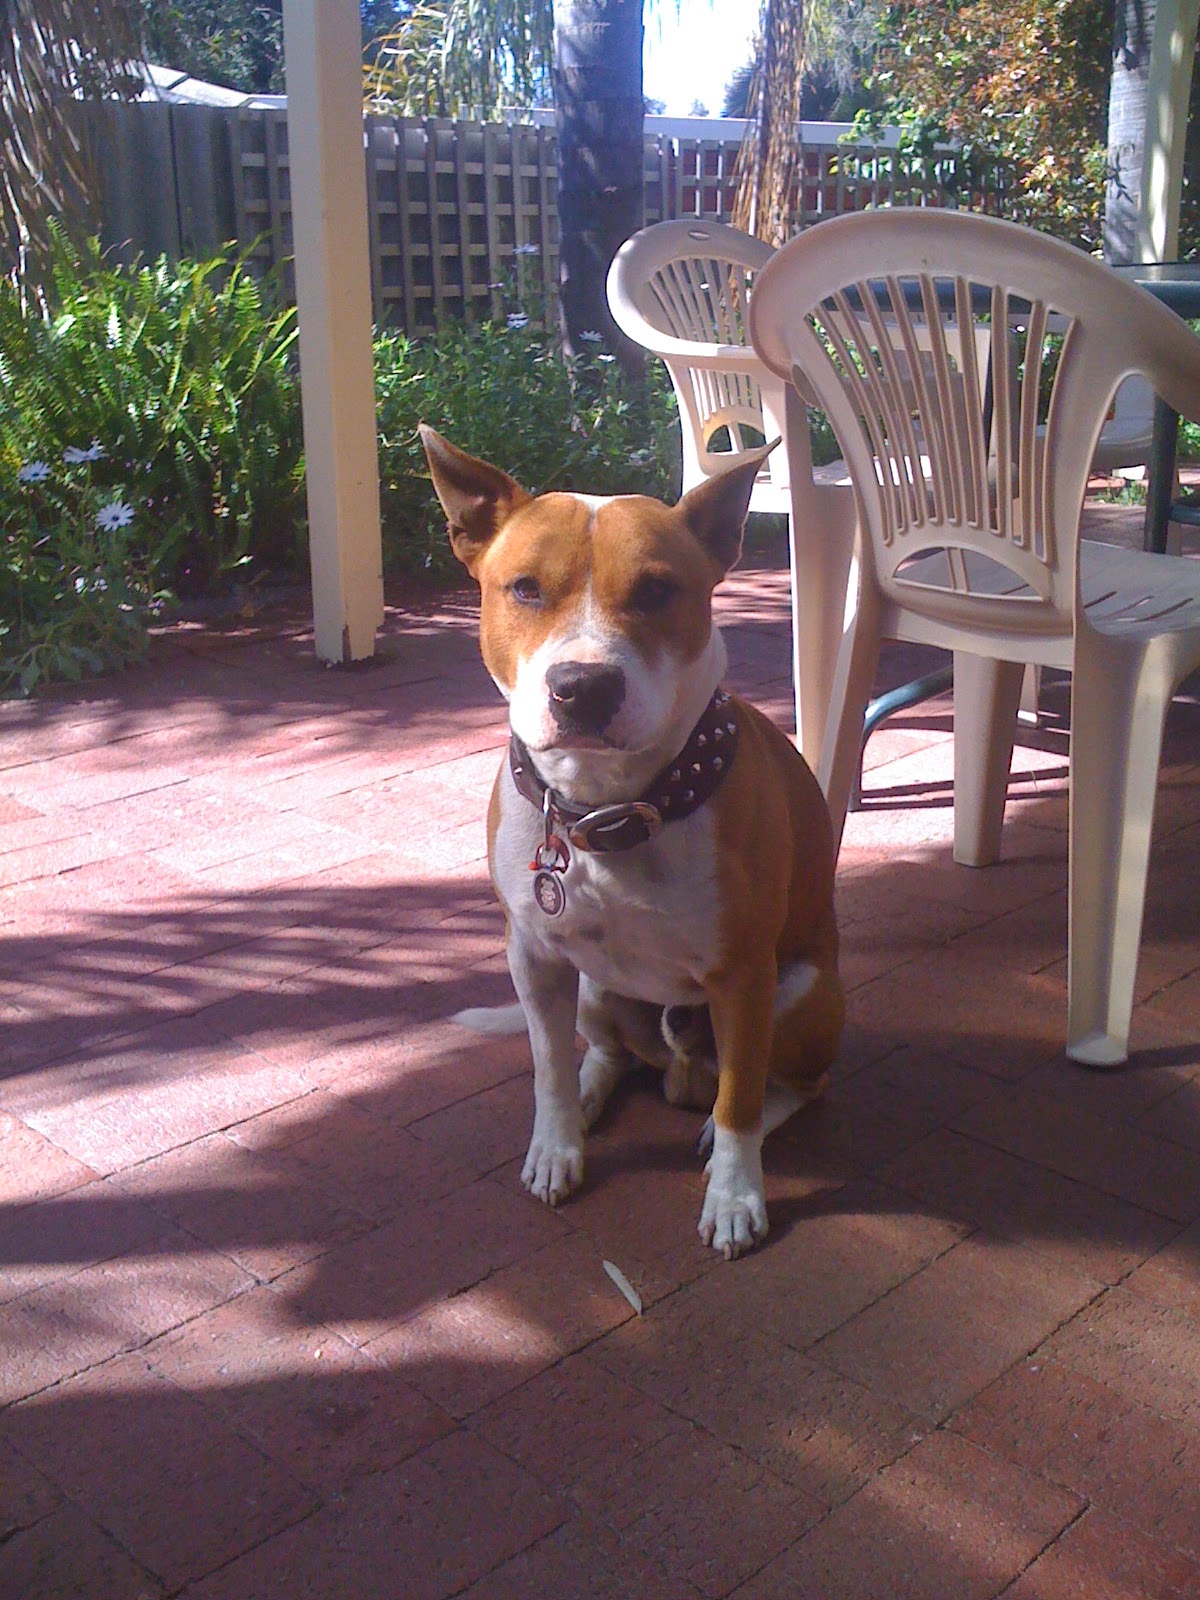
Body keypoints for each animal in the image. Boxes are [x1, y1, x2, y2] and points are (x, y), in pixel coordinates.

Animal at [420, 425, 843, 1258]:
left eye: (656, 592)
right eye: (524, 588)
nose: (582, 687)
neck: (604, 809)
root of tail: (674, 1073)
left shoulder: (744, 977)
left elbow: (741, 1100)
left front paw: (735, 1198)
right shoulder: (534, 955)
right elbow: (547, 1067)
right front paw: (556, 1145)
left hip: (802, 996)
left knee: (790, 1087)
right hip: (593, 988)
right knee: (608, 1052)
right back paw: (592, 1097)